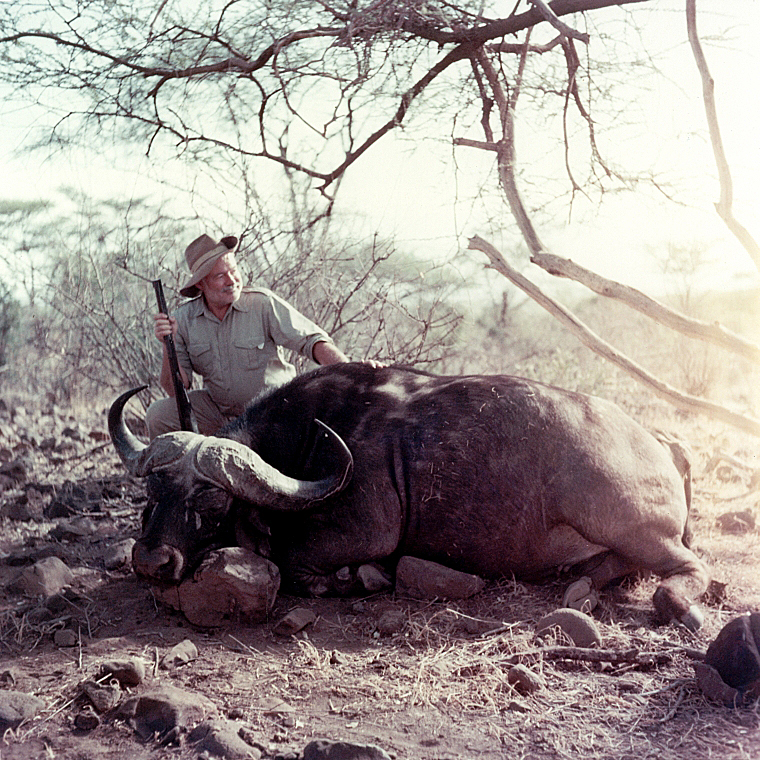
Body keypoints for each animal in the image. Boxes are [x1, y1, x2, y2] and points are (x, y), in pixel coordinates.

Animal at [110, 362, 708, 628]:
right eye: (151, 492)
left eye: (210, 500)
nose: (152, 560)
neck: (310, 441)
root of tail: (662, 442)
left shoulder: (362, 533)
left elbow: (294, 561)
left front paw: (363, 579)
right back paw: (583, 584)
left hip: (628, 525)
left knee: (685, 570)